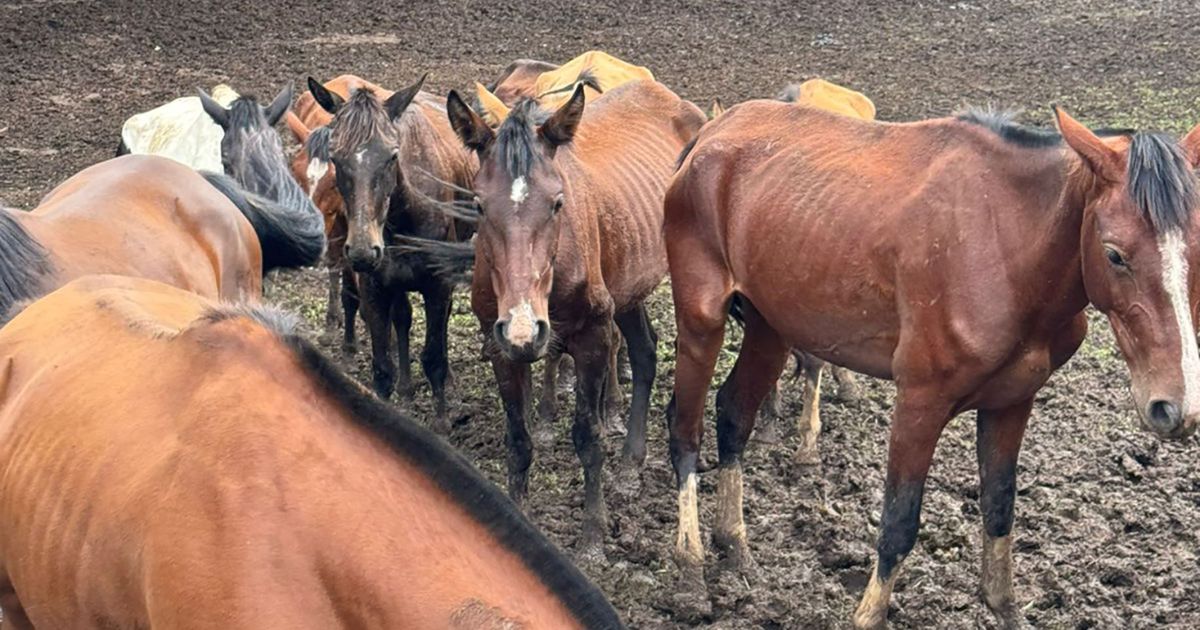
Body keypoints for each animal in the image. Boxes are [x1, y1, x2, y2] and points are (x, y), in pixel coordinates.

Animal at [448, 81, 710, 556]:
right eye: (478, 204)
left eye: (557, 203)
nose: (524, 327)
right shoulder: (500, 346)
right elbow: (518, 439)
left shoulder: (592, 337)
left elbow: (588, 437)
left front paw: (592, 535)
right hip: (626, 288)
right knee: (644, 352)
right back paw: (630, 466)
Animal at [667, 102, 1200, 624]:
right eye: (1114, 255)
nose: (1177, 408)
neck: (1004, 243)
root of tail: (710, 134)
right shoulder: (920, 402)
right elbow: (899, 522)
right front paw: (869, 614)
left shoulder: (1012, 401)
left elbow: (1000, 506)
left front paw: (1002, 605)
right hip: (701, 322)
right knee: (685, 428)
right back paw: (690, 566)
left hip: (770, 327)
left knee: (733, 414)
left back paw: (734, 544)